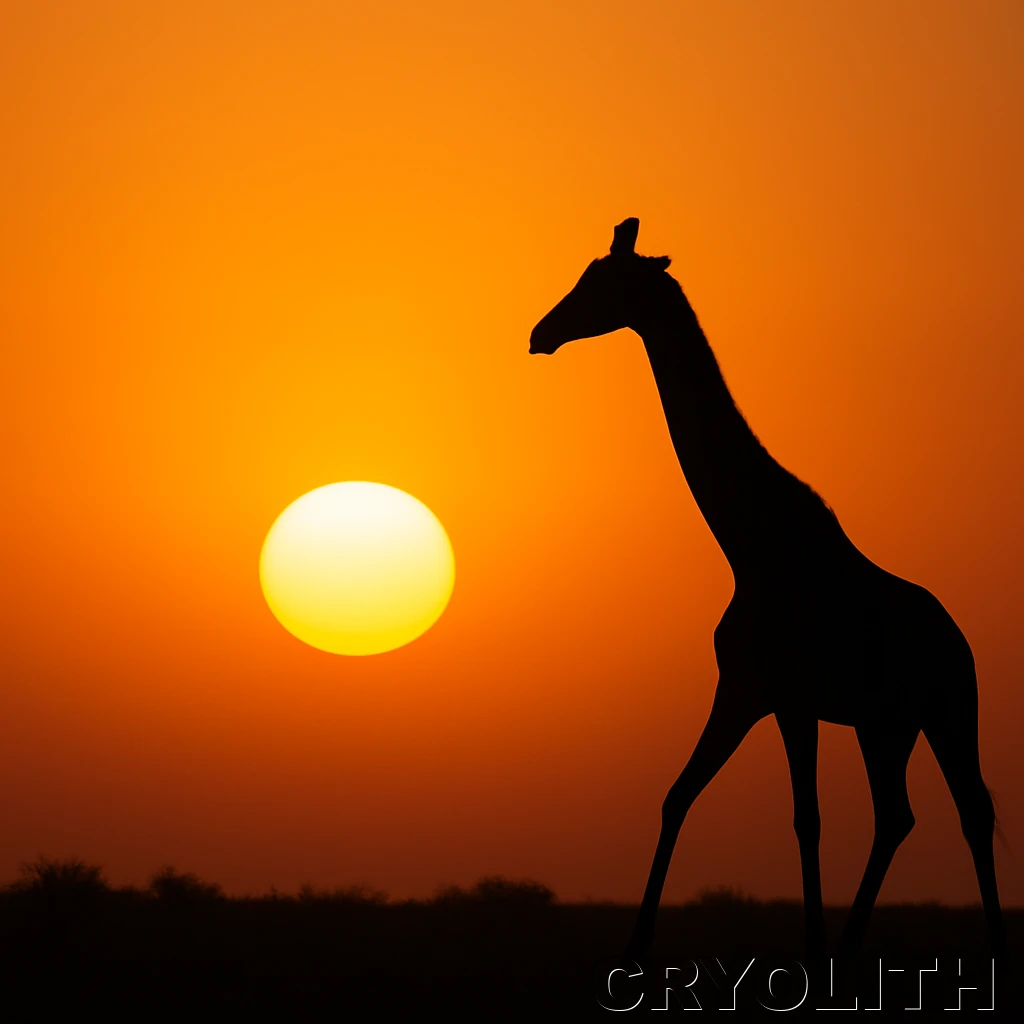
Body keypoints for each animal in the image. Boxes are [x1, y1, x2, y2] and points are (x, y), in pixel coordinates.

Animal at [529, 218, 1005, 963]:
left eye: (600, 283)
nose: (539, 333)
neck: (750, 546)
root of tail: (958, 639)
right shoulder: (747, 690)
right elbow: (678, 796)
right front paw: (637, 948)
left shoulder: (787, 697)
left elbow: (805, 818)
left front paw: (809, 951)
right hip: (886, 724)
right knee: (897, 815)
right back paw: (851, 948)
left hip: (950, 709)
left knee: (972, 810)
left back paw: (990, 955)